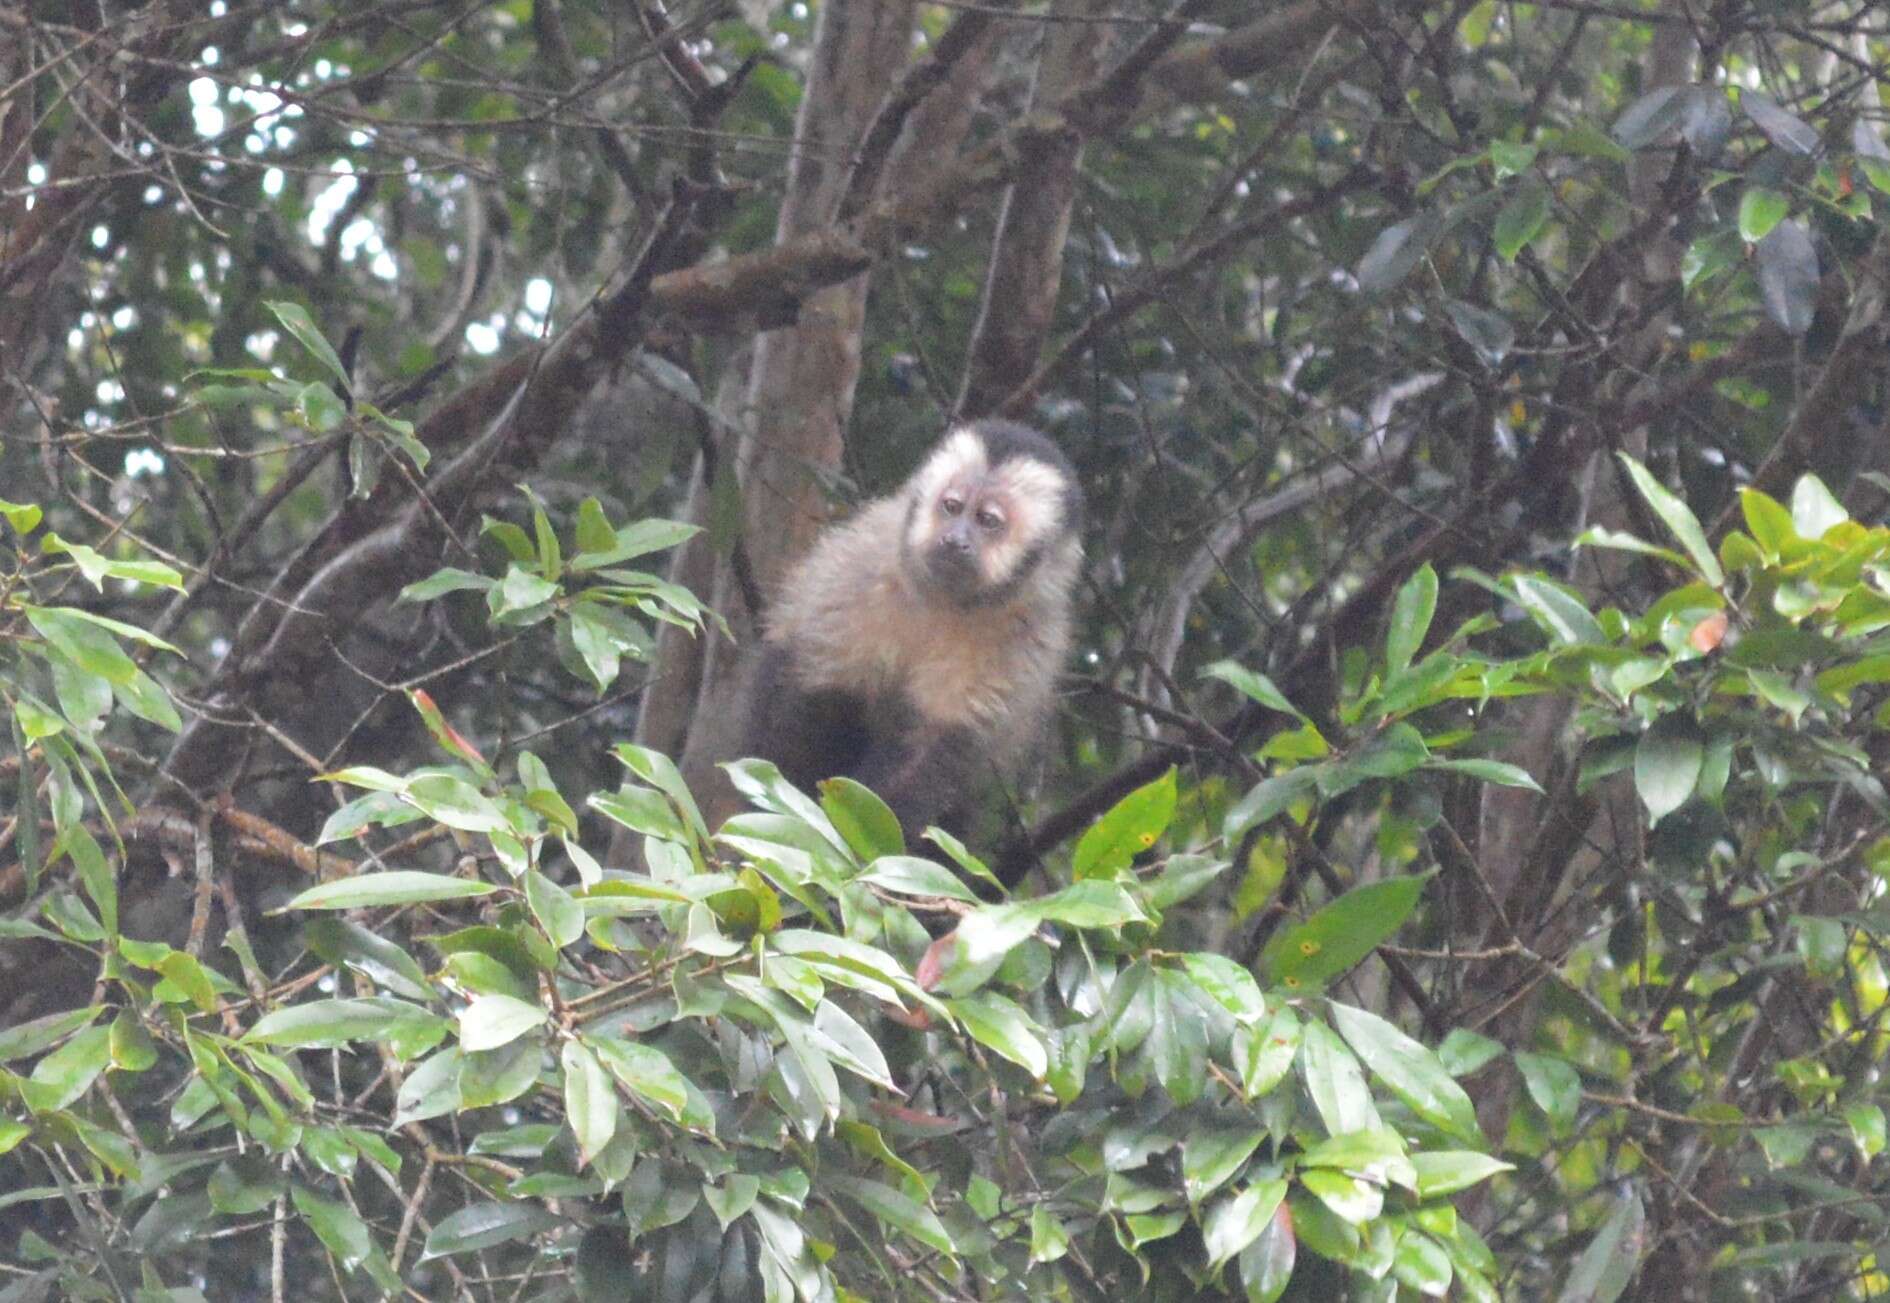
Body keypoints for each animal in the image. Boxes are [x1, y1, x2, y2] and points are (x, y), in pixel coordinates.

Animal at [687, 416, 1088, 843]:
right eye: (952, 507)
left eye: (988, 521)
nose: (955, 539)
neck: (945, 603)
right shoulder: (864, 568)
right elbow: (815, 693)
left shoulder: (1022, 638)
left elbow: (930, 751)